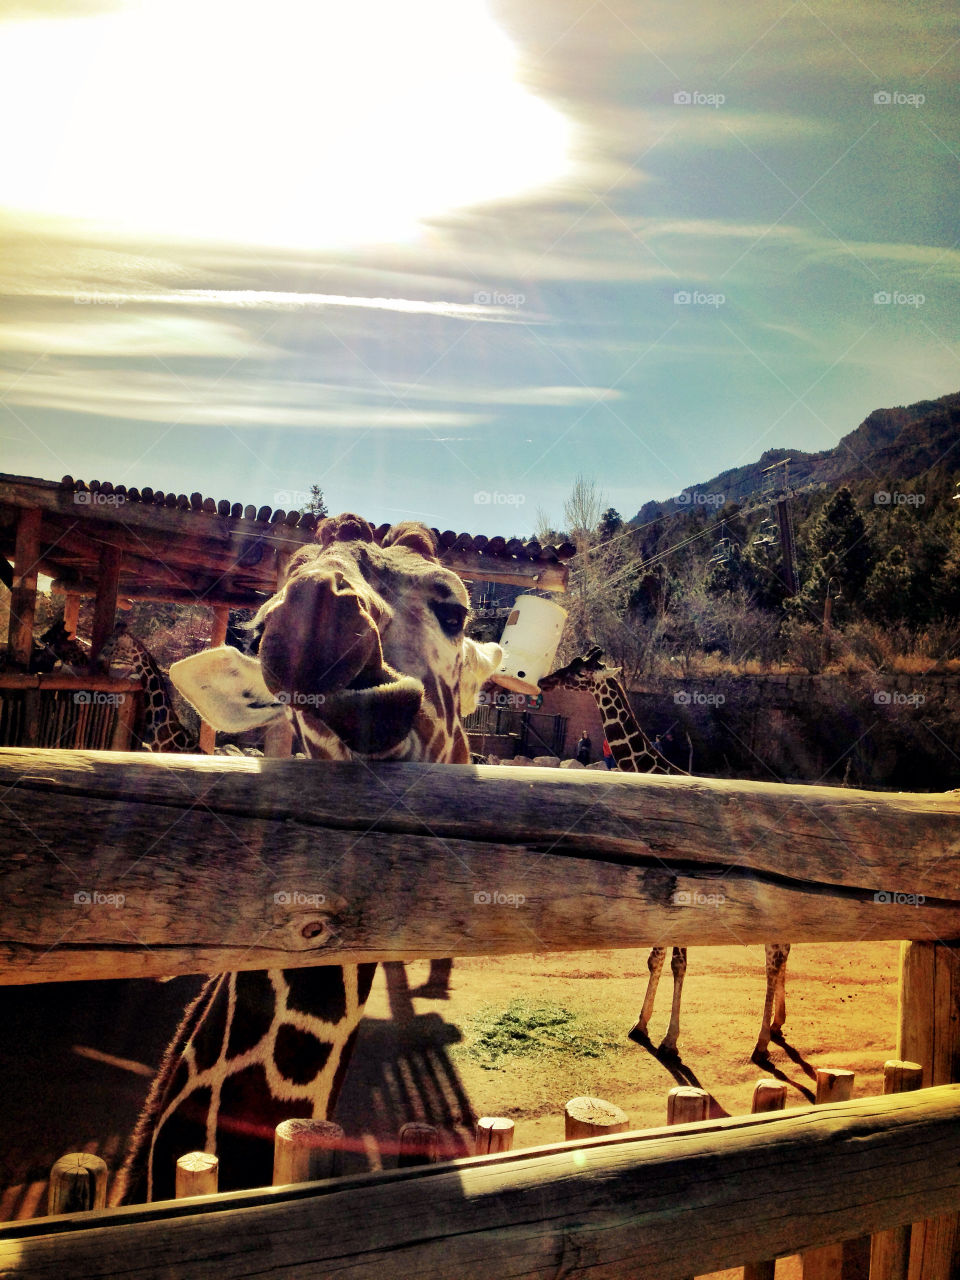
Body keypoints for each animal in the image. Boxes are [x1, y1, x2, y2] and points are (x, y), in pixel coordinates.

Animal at [538, 647, 789, 1059]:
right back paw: (777, 1025)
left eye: (581, 671)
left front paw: (670, 1040)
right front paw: (641, 1026)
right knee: (784, 952)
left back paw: (761, 1044)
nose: (545, 681)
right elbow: (656, 958)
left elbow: (677, 962)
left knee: (774, 957)